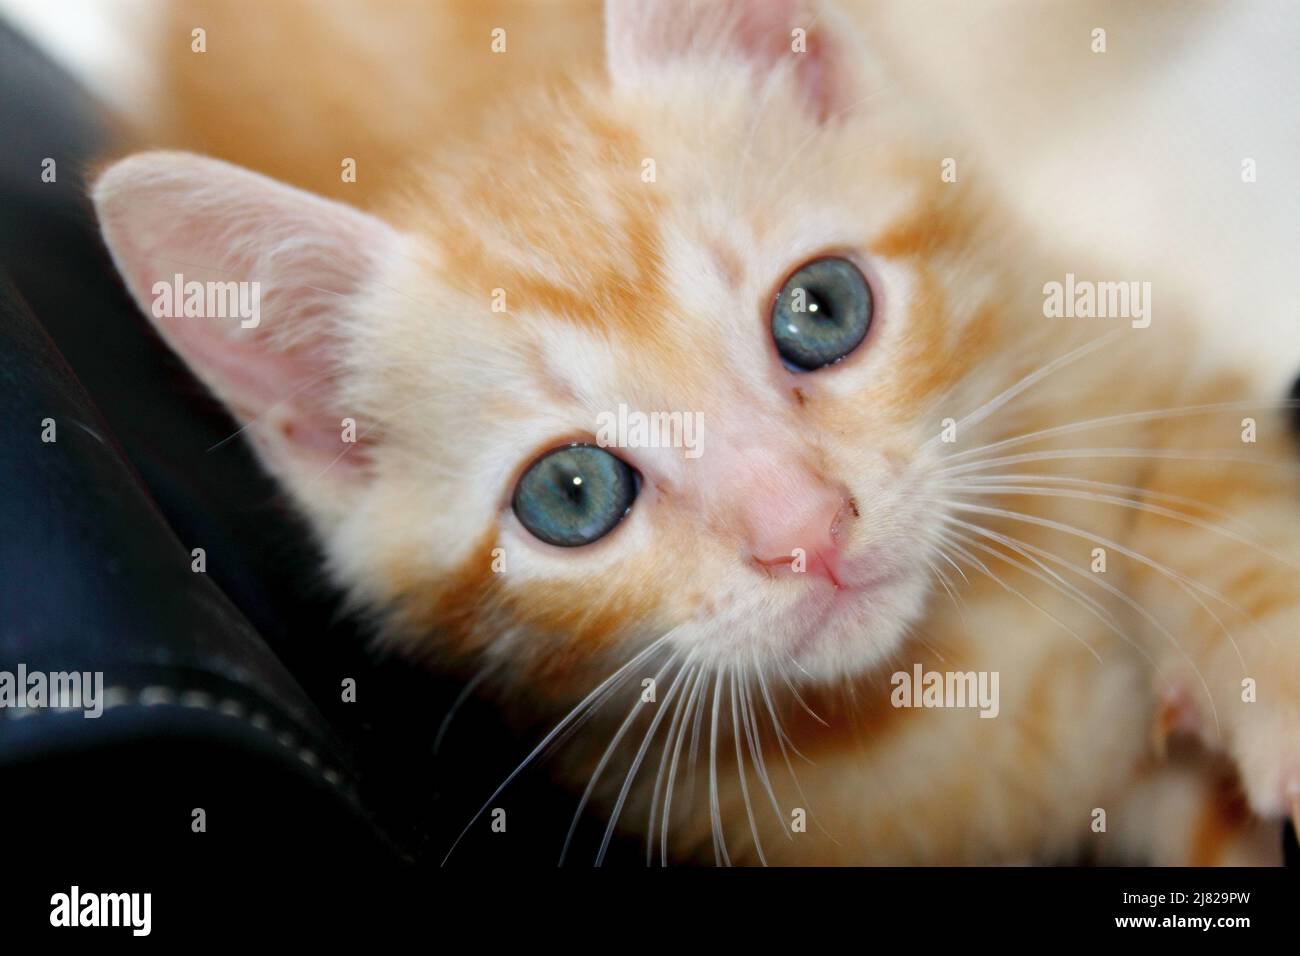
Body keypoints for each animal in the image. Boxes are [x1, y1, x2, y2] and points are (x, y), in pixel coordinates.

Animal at [91, 1, 1300, 868]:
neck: (945, 666)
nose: (805, 530)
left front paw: (1275, 692)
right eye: (571, 494)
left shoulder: (1109, 336)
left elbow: (1215, 495)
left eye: (822, 308)